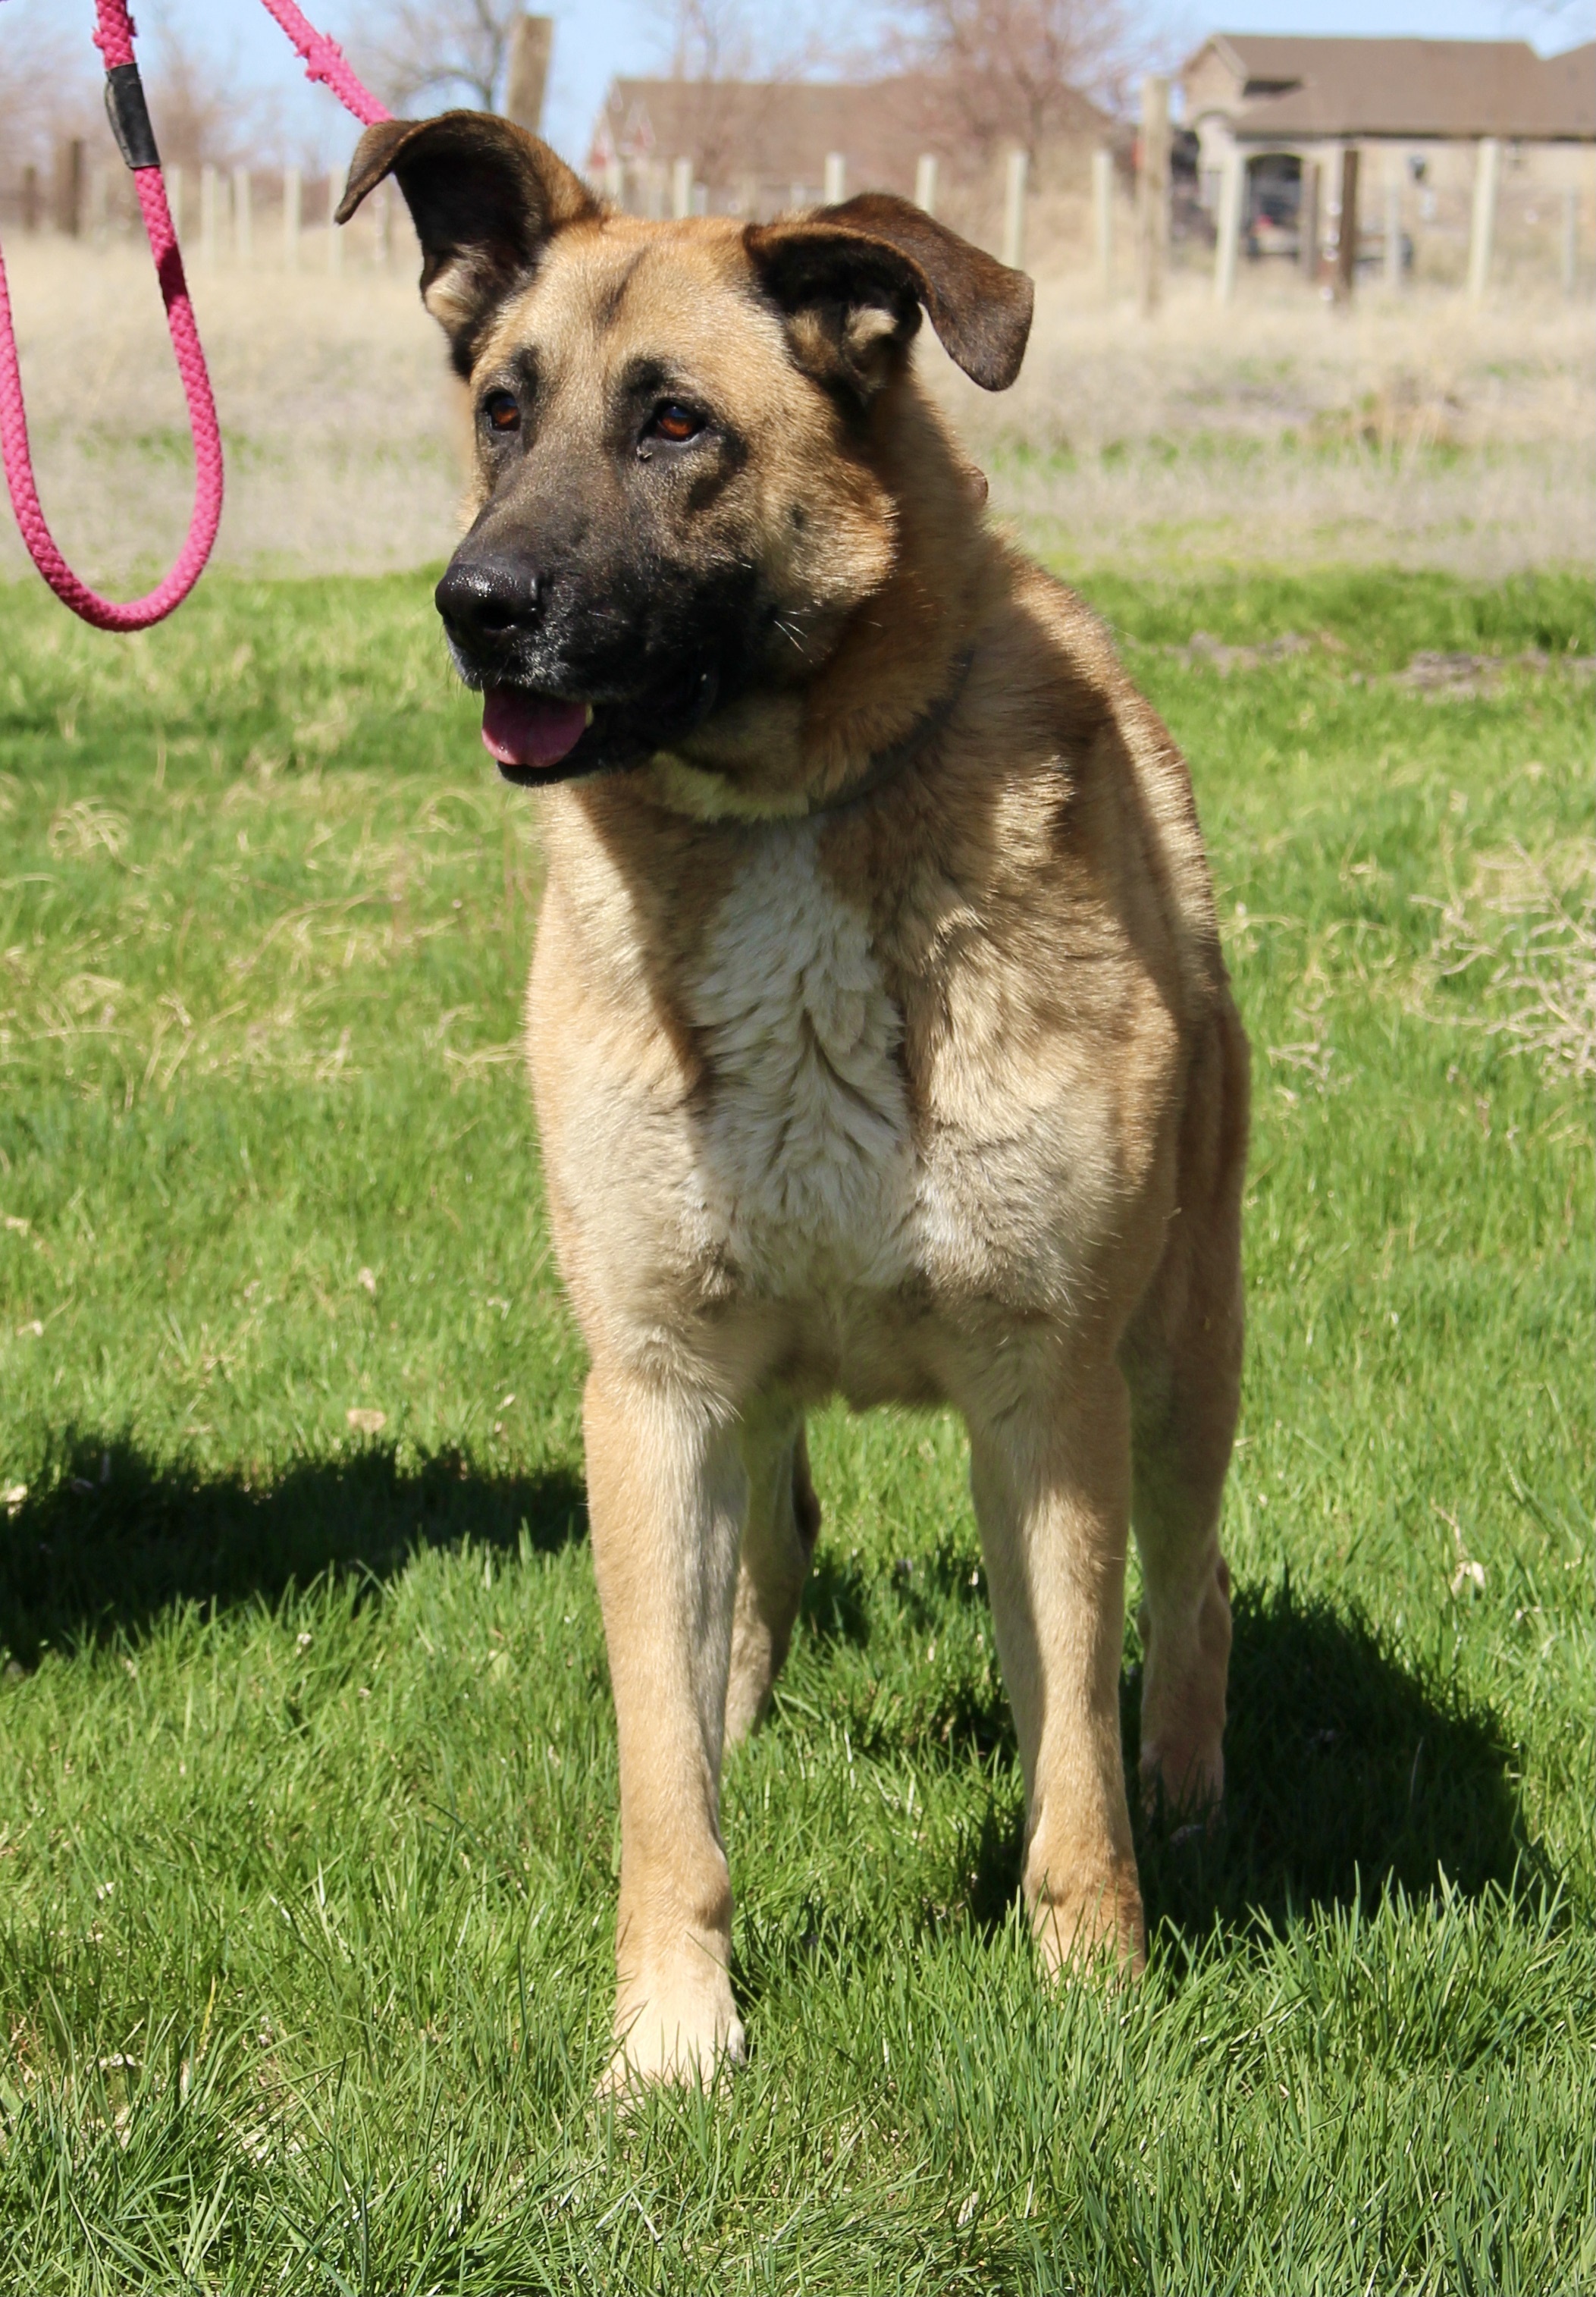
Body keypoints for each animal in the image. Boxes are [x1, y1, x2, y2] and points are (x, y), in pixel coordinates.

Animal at [344, 116, 1258, 2095]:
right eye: (503, 409)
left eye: (676, 422)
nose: (474, 609)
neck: (781, 810)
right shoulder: (655, 1389)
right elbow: (659, 1771)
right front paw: (671, 2028)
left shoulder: (1045, 1391)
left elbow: (1067, 1750)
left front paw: (1089, 1992)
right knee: (758, 1575)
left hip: (1175, 1356)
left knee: (1185, 1592)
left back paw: (1188, 1775)